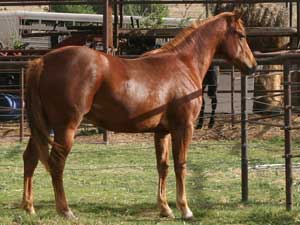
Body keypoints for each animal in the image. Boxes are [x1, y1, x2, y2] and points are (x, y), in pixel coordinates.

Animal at [21, 10, 255, 218]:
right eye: (241, 35)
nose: (252, 66)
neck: (183, 64)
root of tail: (42, 62)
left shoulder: (162, 132)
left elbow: (163, 166)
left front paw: (165, 209)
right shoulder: (184, 127)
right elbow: (180, 165)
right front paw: (185, 209)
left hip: (43, 127)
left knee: (30, 158)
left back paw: (29, 207)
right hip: (65, 128)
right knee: (56, 163)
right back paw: (65, 210)